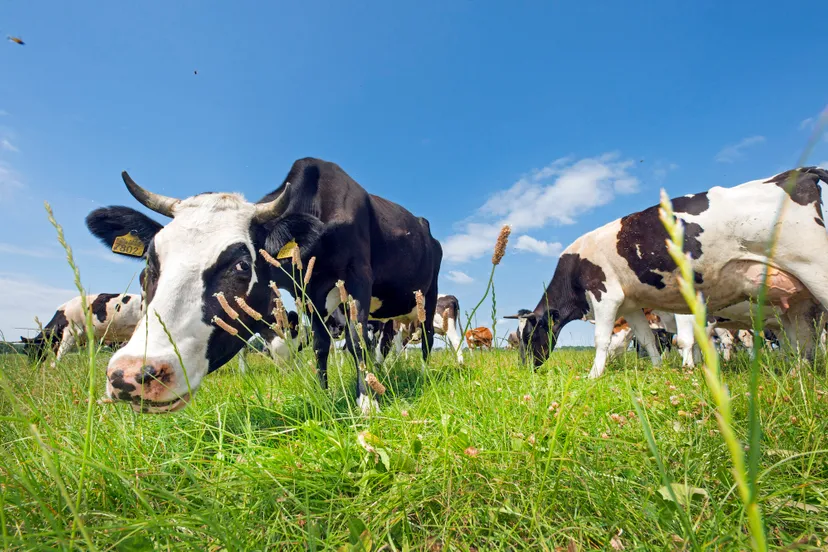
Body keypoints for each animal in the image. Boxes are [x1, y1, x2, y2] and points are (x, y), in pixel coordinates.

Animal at [85, 158, 442, 414]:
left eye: (241, 265)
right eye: (150, 263)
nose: (130, 374)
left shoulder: (357, 278)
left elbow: (356, 341)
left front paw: (367, 401)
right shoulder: (308, 292)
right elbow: (320, 345)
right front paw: (324, 392)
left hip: (428, 294)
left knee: (424, 337)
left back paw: (425, 373)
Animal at [507, 167, 828, 378]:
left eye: (529, 336)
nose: (526, 367)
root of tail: (798, 172)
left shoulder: (606, 294)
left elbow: (603, 339)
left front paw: (593, 375)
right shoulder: (631, 305)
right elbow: (648, 339)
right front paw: (659, 369)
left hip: (814, 265)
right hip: (797, 299)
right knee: (804, 340)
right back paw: (798, 373)